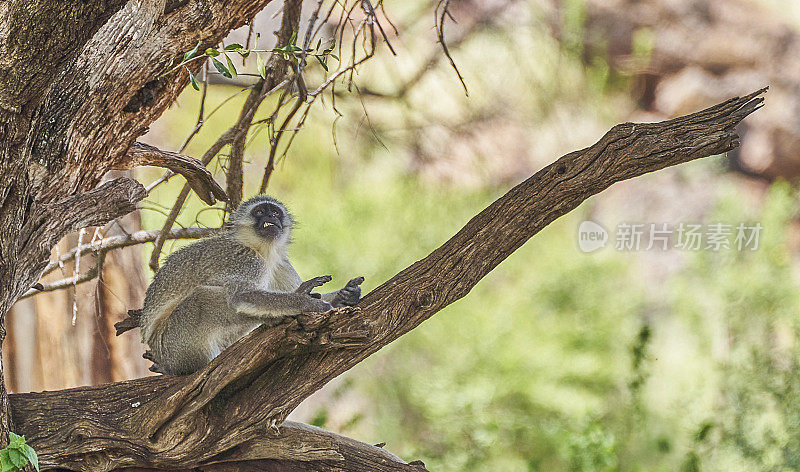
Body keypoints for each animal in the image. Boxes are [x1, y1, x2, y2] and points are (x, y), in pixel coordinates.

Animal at [138, 194, 362, 374]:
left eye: (275, 212)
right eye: (260, 211)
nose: (271, 218)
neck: (262, 249)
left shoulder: (282, 264)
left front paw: (344, 295)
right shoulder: (247, 260)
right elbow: (241, 297)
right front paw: (306, 302)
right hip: (174, 344)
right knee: (204, 297)